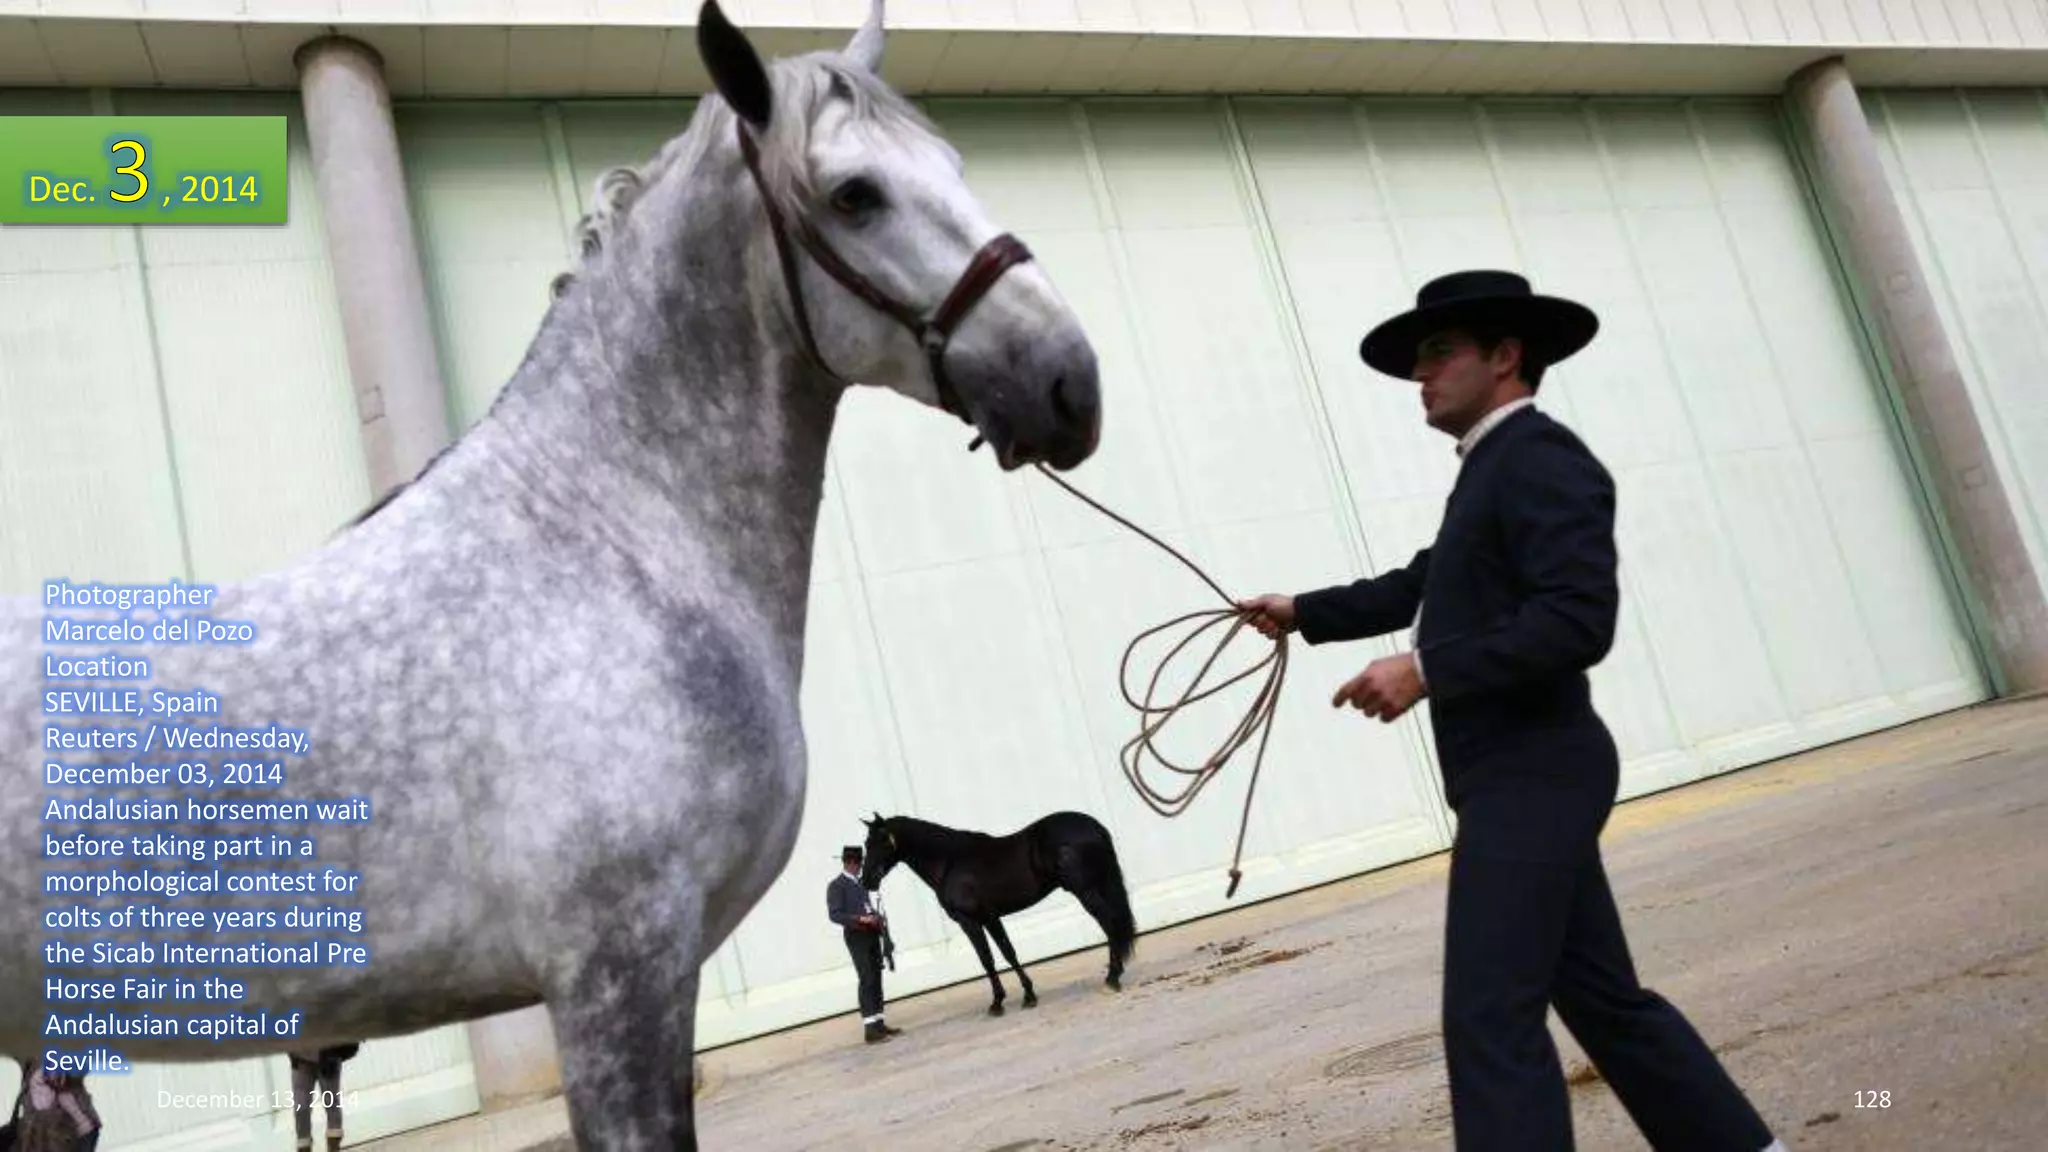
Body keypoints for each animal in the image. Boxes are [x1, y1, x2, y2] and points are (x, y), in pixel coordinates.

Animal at [859, 811, 1137, 1016]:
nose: (865, 881)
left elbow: (989, 958)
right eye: (865, 845)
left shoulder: (971, 921)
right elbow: (1007, 953)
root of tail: (1095, 827)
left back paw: (1112, 978)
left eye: (877, 843)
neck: (949, 861)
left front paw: (999, 1002)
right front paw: (1028, 995)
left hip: (1086, 891)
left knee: (1110, 924)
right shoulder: (990, 918)